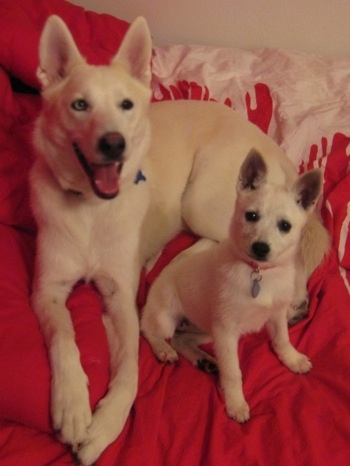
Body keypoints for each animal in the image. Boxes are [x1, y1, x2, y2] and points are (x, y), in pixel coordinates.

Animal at [142, 149, 320, 422]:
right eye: (251, 216)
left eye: (285, 226)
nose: (260, 248)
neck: (258, 274)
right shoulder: (226, 332)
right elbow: (233, 371)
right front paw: (236, 403)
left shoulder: (276, 314)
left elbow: (282, 339)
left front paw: (292, 359)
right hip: (167, 318)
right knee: (148, 330)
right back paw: (163, 350)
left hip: (206, 328)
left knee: (182, 338)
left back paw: (203, 360)